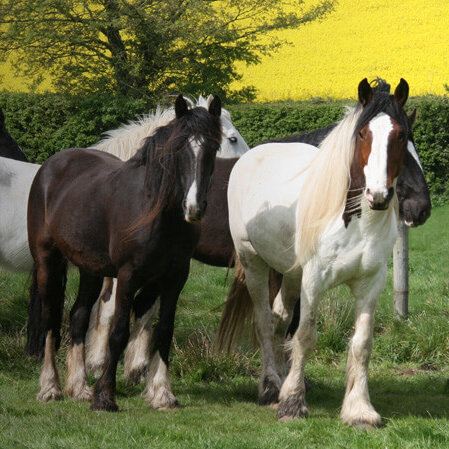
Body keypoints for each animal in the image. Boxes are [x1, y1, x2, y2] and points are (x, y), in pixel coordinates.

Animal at [25, 94, 221, 410]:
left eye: (214, 148)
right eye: (179, 148)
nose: (194, 207)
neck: (155, 212)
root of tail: (50, 166)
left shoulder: (175, 278)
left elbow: (164, 331)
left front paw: (162, 393)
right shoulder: (128, 276)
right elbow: (118, 333)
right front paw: (105, 396)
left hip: (90, 269)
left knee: (78, 315)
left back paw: (79, 387)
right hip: (47, 261)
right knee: (50, 318)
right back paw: (50, 387)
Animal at [217, 79, 412, 428]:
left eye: (401, 134)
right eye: (363, 134)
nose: (378, 195)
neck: (354, 221)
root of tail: (252, 155)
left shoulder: (371, 284)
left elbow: (362, 344)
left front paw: (360, 409)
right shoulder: (314, 281)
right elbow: (306, 336)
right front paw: (293, 404)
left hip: (291, 274)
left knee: (279, 319)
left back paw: (281, 380)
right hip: (255, 263)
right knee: (264, 322)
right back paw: (270, 388)